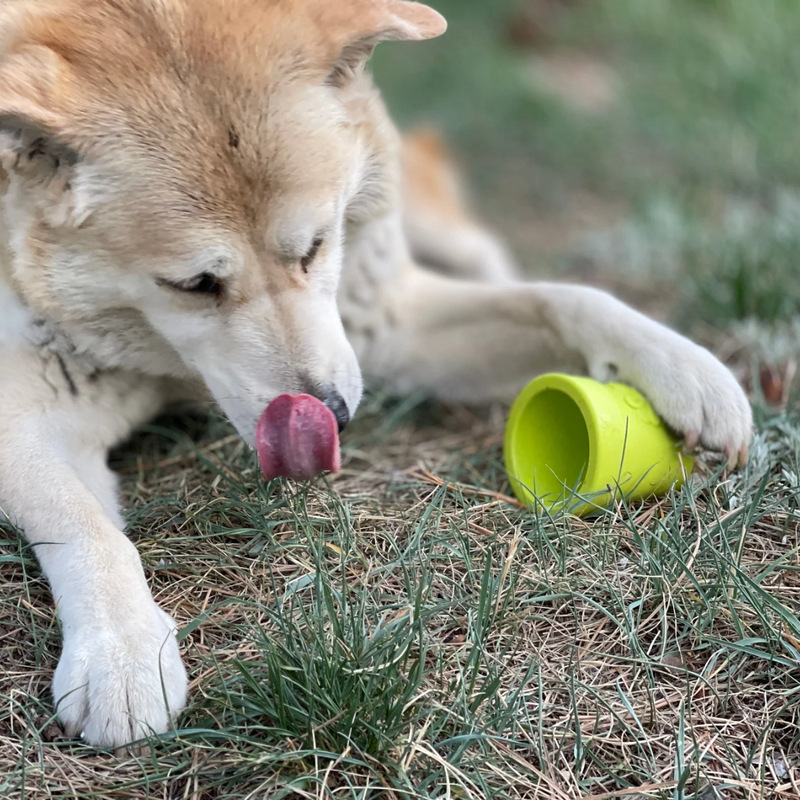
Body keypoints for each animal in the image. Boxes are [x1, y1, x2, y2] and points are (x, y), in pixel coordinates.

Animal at [0, 0, 752, 752]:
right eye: (193, 285)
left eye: (314, 246)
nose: (332, 413)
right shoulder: (25, 417)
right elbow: (85, 525)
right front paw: (119, 651)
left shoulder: (381, 322)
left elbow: (567, 298)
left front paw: (687, 371)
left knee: (483, 249)